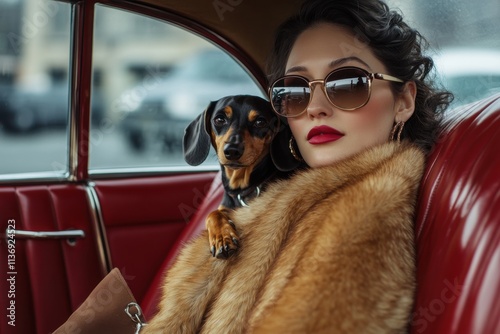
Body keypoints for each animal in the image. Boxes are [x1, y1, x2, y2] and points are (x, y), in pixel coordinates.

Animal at [184, 94, 286, 258]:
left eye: (260, 122)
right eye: (219, 119)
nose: (232, 150)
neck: (241, 190)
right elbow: (213, 213)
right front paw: (222, 237)